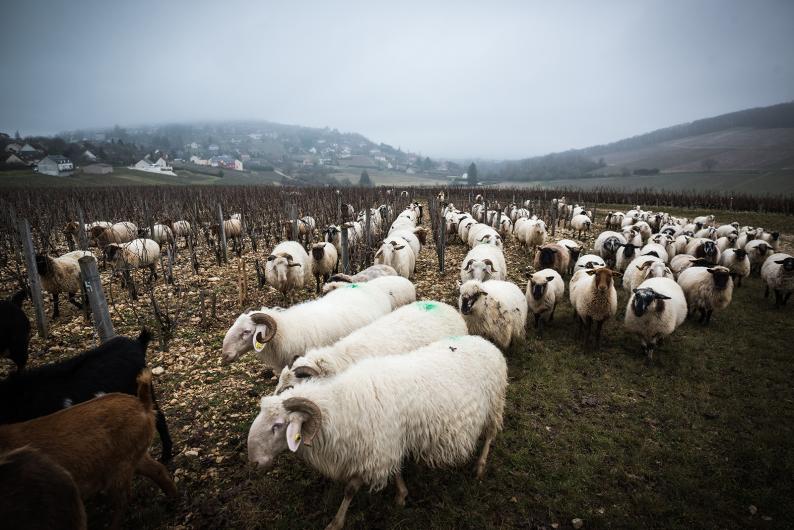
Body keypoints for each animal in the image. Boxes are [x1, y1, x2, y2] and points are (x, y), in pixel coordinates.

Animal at [0, 370, 175, 524]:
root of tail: (142, 404)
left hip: (119, 468)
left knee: (124, 498)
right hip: (133, 455)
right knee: (157, 470)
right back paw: (171, 502)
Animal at [248, 334, 508, 528]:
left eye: (278, 425)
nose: (254, 462)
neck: (339, 405)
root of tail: (486, 343)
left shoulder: (374, 449)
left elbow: (351, 489)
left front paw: (336, 522)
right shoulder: (389, 442)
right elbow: (396, 470)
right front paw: (401, 494)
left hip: (494, 404)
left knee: (489, 436)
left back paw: (480, 466)